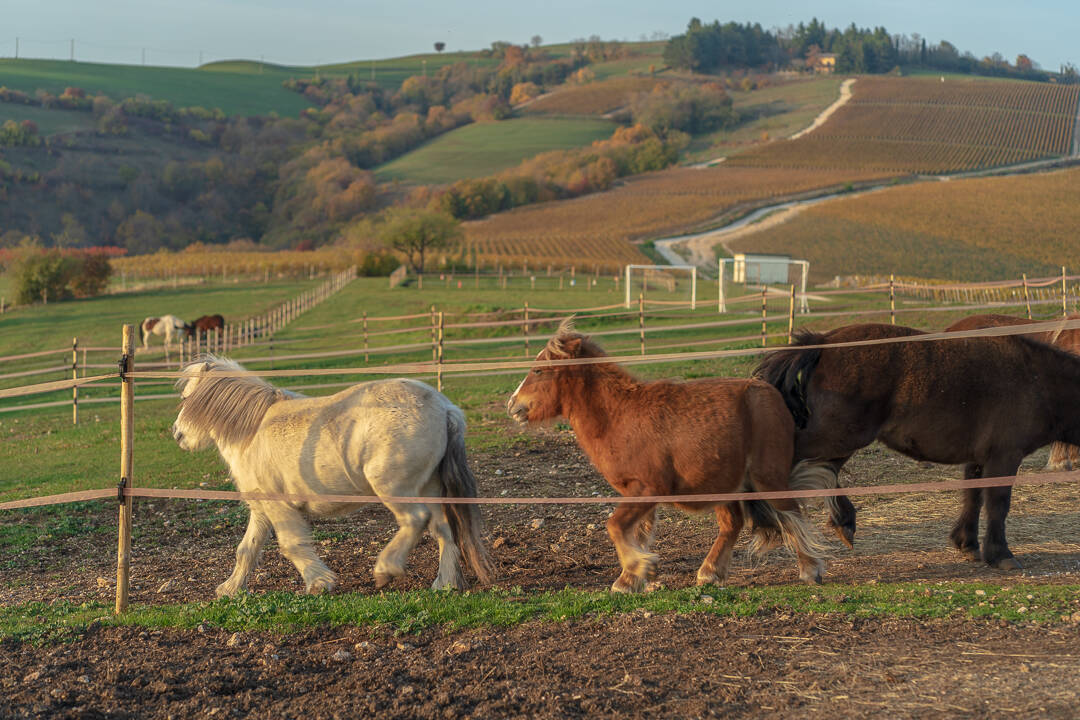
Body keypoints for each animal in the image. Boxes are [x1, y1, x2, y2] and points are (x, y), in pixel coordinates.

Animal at [171, 356, 494, 595]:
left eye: (187, 399)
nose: (177, 434)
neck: (252, 431)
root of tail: (445, 408)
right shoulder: (262, 510)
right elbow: (247, 550)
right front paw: (230, 589)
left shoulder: (279, 506)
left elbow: (291, 544)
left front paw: (319, 583)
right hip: (429, 487)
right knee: (443, 530)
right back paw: (445, 584)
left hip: (394, 487)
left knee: (415, 521)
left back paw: (385, 570)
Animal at [505, 321, 825, 591]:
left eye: (539, 371)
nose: (512, 404)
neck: (617, 417)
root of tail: (772, 395)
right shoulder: (637, 493)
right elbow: (634, 533)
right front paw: (633, 578)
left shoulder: (648, 489)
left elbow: (615, 527)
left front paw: (639, 569)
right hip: (726, 486)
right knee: (733, 524)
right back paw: (710, 573)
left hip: (767, 479)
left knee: (792, 515)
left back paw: (810, 570)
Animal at [756, 325, 1080, 569]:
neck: (1036, 377)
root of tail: (824, 342)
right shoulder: (1004, 457)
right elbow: (998, 504)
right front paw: (1000, 554)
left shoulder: (980, 459)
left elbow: (973, 499)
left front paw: (967, 543)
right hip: (838, 436)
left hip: (838, 442)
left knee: (824, 474)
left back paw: (841, 521)